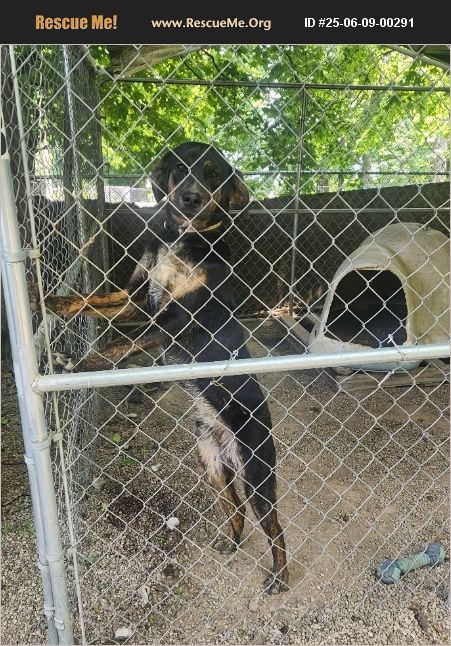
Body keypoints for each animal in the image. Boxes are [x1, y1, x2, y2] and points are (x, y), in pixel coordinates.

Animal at [32, 142, 289, 593]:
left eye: (214, 175)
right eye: (182, 168)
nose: (191, 198)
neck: (181, 242)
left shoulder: (172, 319)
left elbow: (119, 345)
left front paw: (78, 362)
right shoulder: (137, 297)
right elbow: (93, 299)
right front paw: (51, 300)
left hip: (258, 472)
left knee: (274, 526)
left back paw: (279, 573)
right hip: (213, 466)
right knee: (235, 507)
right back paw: (230, 542)